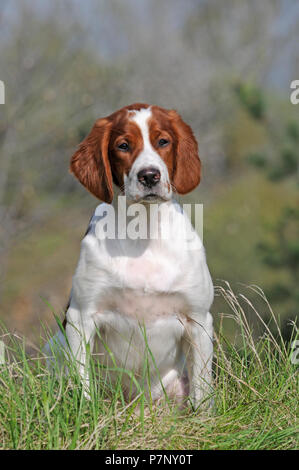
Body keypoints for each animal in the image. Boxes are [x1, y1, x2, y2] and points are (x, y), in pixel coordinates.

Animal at [47, 103, 214, 408]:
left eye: (163, 141)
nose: (149, 176)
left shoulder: (198, 320)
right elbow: (82, 384)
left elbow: (204, 391)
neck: (144, 232)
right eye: (123, 145)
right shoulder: (81, 316)